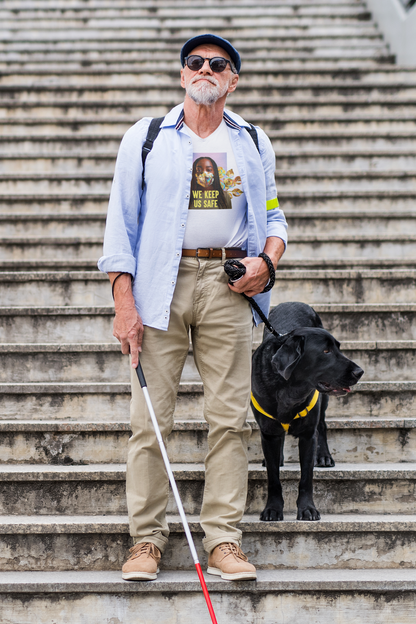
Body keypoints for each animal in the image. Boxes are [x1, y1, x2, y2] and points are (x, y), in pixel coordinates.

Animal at [250, 302, 364, 520]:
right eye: (326, 351)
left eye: (338, 348)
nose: (360, 372)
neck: (289, 388)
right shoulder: (268, 433)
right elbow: (273, 478)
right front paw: (272, 509)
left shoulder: (307, 435)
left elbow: (306, 478)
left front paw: (307, 509)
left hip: (323, 401)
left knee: (323, 426)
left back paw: (324, 457)